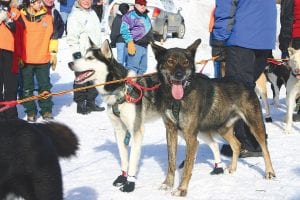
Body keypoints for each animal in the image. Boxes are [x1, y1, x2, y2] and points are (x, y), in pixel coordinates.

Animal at [151, 38, 276, 196]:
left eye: (185, 62)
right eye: (170, 61)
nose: (180, 75)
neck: (178, 100)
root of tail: (244, 82)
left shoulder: (191, 137)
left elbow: (187, 167)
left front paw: (182, 189)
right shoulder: (171, 131)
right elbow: (171, 162)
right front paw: (167, 184)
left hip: (255, 124)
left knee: (265, 148)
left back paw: (270, 172)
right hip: (222, 128)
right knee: (237, 144)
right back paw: (232, 168)